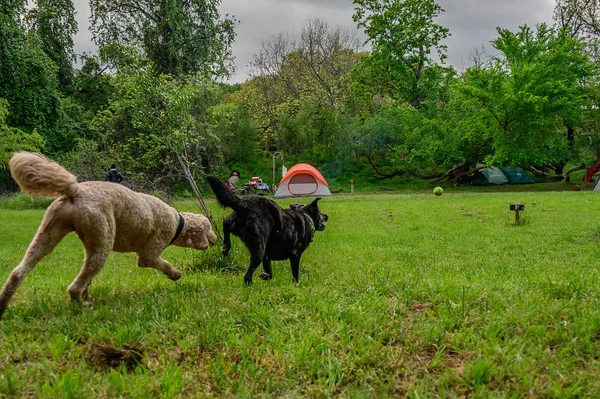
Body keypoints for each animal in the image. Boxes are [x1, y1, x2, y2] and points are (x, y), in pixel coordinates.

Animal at [0, 152, 216, 320]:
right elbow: (163, 264)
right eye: (208, 228)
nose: (215, 239)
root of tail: (75, 191)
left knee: (18, 273)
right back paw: (84, 306)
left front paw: (89, 295)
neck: (178, 221)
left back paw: (3, 304)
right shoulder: (149, 255)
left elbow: (89, 282)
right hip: (101, 245)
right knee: (74, 288)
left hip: (49, 237)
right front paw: (175, 274)